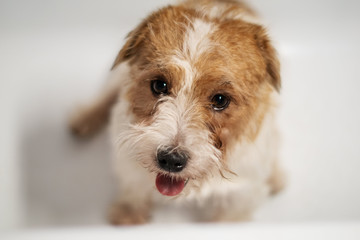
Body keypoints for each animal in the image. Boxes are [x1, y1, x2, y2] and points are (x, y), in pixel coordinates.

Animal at [69, 0, 284, 225]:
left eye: (220, 100)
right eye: (159, 85)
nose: (171, 159)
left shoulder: (240, 194)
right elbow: (133, 187)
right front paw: (129, 212)